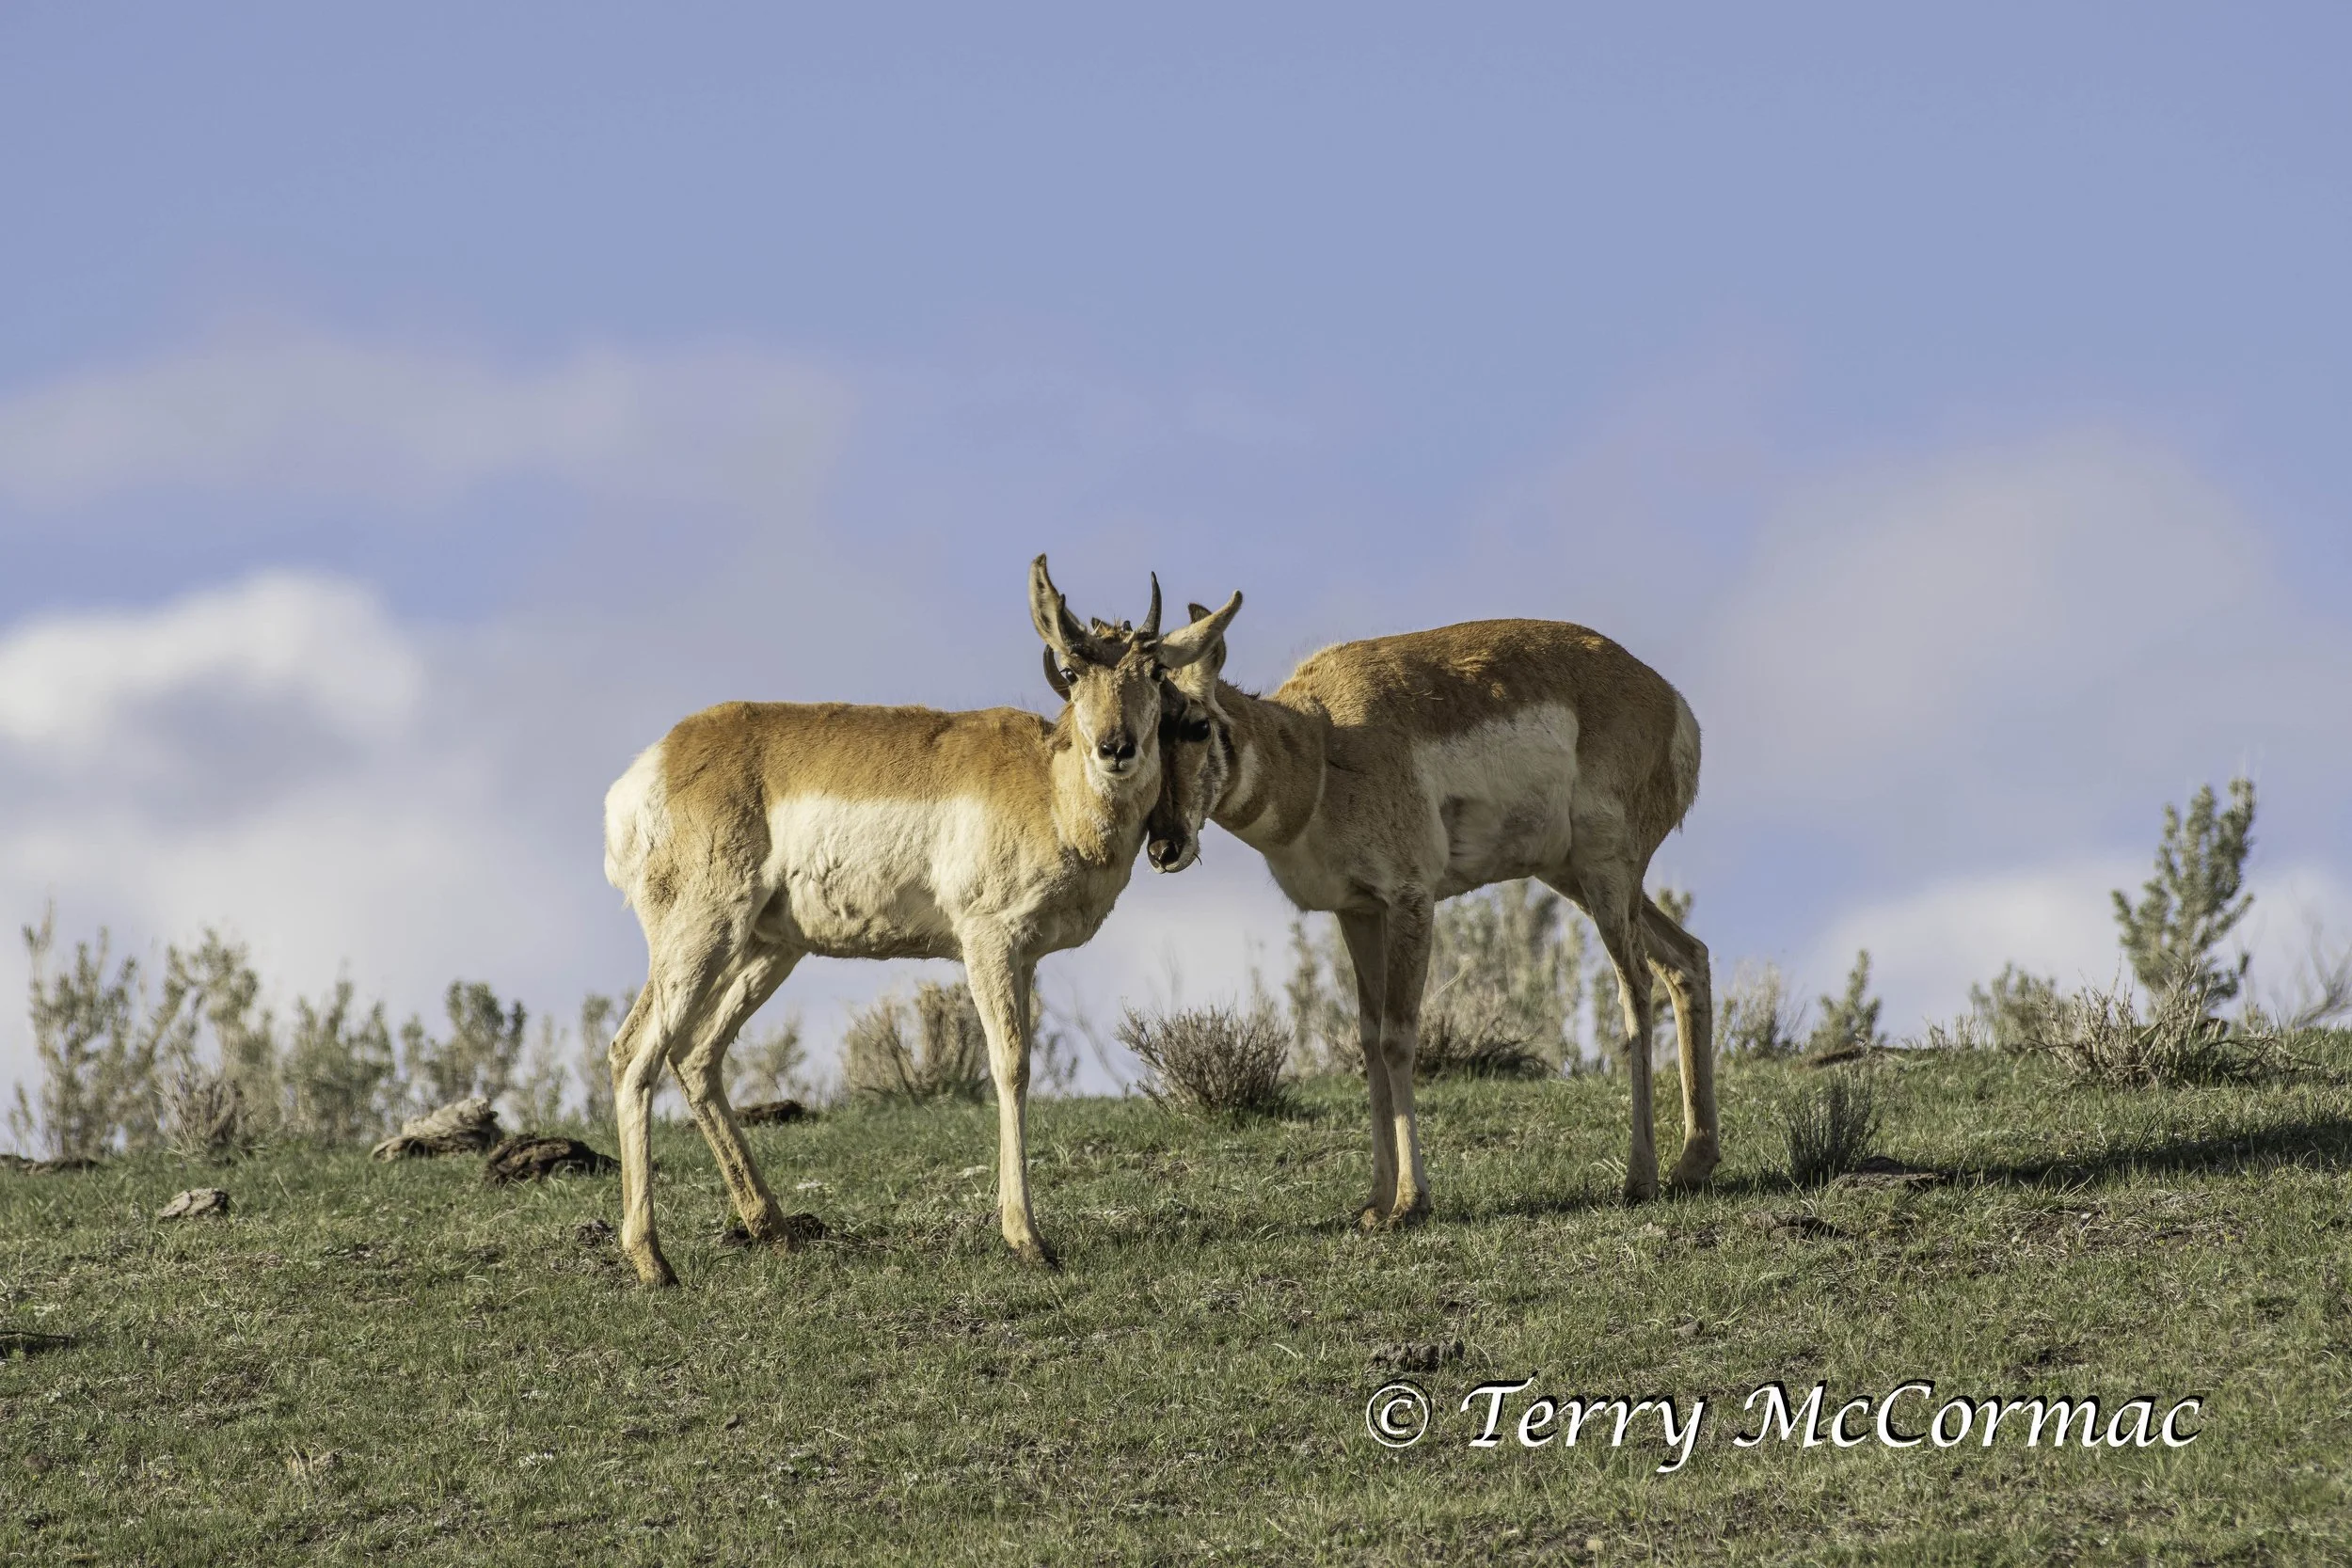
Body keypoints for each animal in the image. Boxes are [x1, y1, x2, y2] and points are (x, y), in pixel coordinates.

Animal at [601, 557, 1242, 1285]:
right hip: (702, 937)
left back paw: (774, 1228)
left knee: (696, 1053)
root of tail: (655, 765)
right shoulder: (990, 943)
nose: (1116, 748)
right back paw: (653, 1259)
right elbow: (1011, 1065)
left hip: (767, 950)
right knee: (634, 1052)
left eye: (1155, 672)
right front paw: (1028, 1239)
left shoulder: (1025, 958)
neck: (1050, 786)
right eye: (1073, 669)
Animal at [1144, 607, 1715, 1222]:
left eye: (1198, 726)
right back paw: (1694, 1161)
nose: (1163, 848)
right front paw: (1374, 1202)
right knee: (1687, 958)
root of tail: (1665, 697)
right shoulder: (1358, 912)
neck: (1318, 744)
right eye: (1135, 736)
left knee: (1635, 991)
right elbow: (1368, 1040)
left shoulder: (1410, 902)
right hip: (1575, 877)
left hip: (1606, 876)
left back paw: (1641, 1178)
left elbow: (1397, 1038)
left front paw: (1409, 1202)